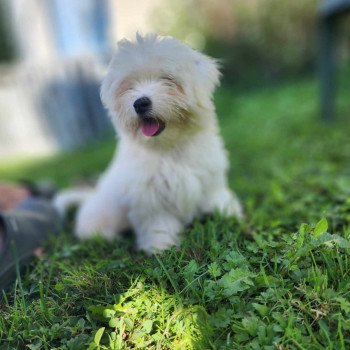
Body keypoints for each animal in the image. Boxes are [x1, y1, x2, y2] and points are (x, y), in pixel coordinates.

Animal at [54, 34, 242, 253]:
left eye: (167, 80)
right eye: (128, 87)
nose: (140, 103)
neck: (169, 148)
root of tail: (89, 198)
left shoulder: (210, 179)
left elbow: (217, 198)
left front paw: (231, 216)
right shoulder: (148, 198)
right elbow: (158, 222)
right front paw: (162, 246)